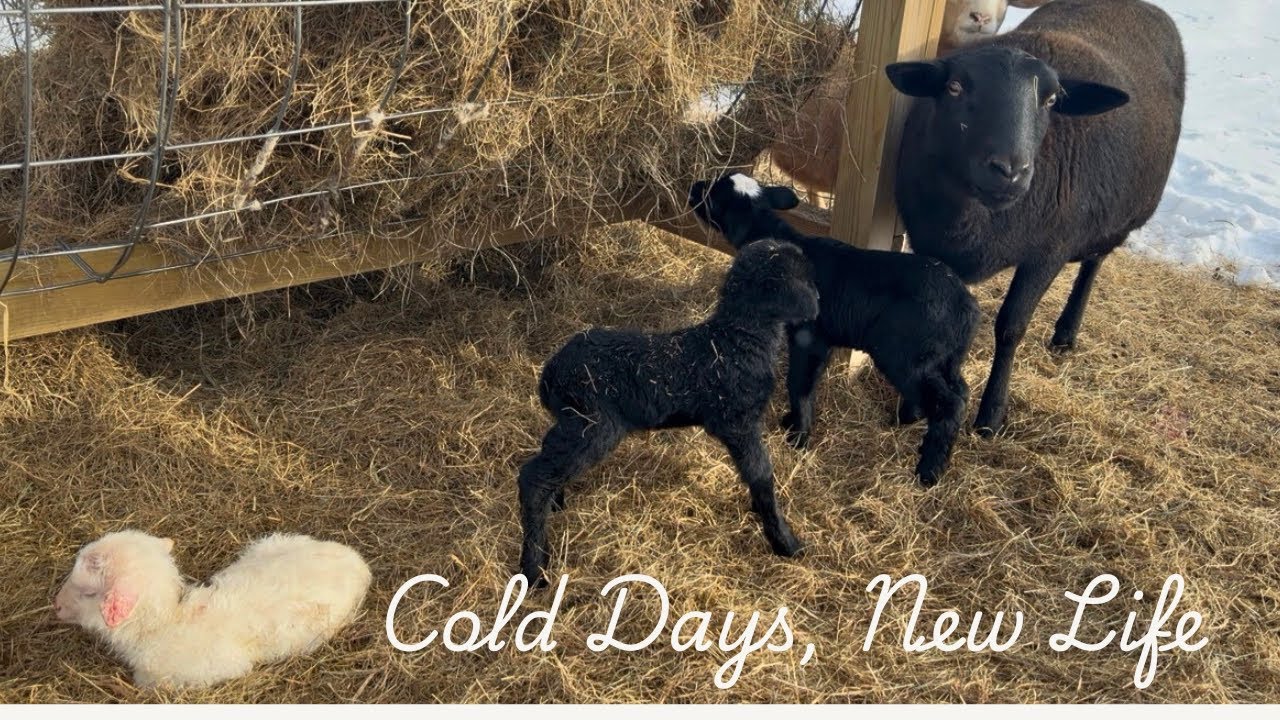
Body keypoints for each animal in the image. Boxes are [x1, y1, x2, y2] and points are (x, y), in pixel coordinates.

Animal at [518, 239, 820, 586]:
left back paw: (556, 502)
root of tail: (550, 373)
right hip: (593, 426)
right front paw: (786, 542)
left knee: (547, 455)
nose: (818, 302)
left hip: (573, 420)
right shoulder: (738, 422)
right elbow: (762, 475)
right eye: (803, 277)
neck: (737, 340)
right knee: (533, 478)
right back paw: (534, 568)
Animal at [688, 172, 980, 487]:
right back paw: (903, 423)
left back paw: (928, 471)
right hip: (942, 359)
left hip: (906, 355)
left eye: (713, 194)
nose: (692, 189)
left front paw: (798, 436)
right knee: (958, 391)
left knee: (949, 404)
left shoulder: (809, 337)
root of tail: (966, 307)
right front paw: (793, 424)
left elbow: (799, 383)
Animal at [888, 0, 1185, 435]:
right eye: (954, 87)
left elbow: (1011, 327)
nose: (1010, 170)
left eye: (1051, 100)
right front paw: (913, 406)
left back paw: (1066, 332)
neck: (973, 218)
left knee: (1094, 262)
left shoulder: (1048, 252)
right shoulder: (931, 246)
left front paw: (991, 415)